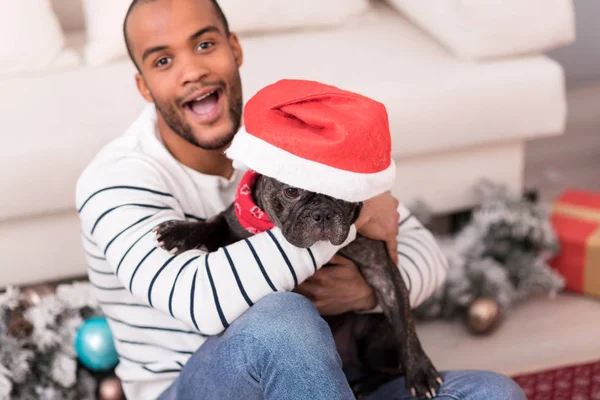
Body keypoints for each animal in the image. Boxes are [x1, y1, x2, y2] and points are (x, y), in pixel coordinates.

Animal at [155, 174, 440, 396]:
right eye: (291, 191)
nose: (323, 213)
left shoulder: (381, 269)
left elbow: (404, 321)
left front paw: (420, 372)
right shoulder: (228, 229)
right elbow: (213, 221)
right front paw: (179, 231)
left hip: (373, 343)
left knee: (389, 369)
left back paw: (364, 385)